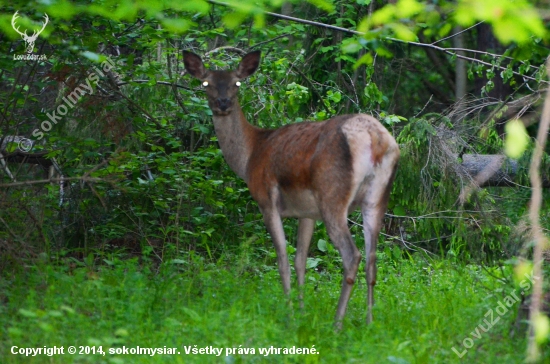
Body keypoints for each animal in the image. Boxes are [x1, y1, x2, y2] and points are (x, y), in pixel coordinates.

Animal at [184, 49, 402, 328]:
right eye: (206, 83)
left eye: (237, 83)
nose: (223, 103)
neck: (250, 156)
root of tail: (374, 138)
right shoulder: (307, 212)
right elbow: (301, 261)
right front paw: (301, 310)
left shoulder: (266, 200)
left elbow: (283, 261)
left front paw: (288, 313)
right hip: (377, 197)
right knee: (372, 259)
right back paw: (369, 322)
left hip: (332, 194)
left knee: (353, 255)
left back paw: (337, 323)